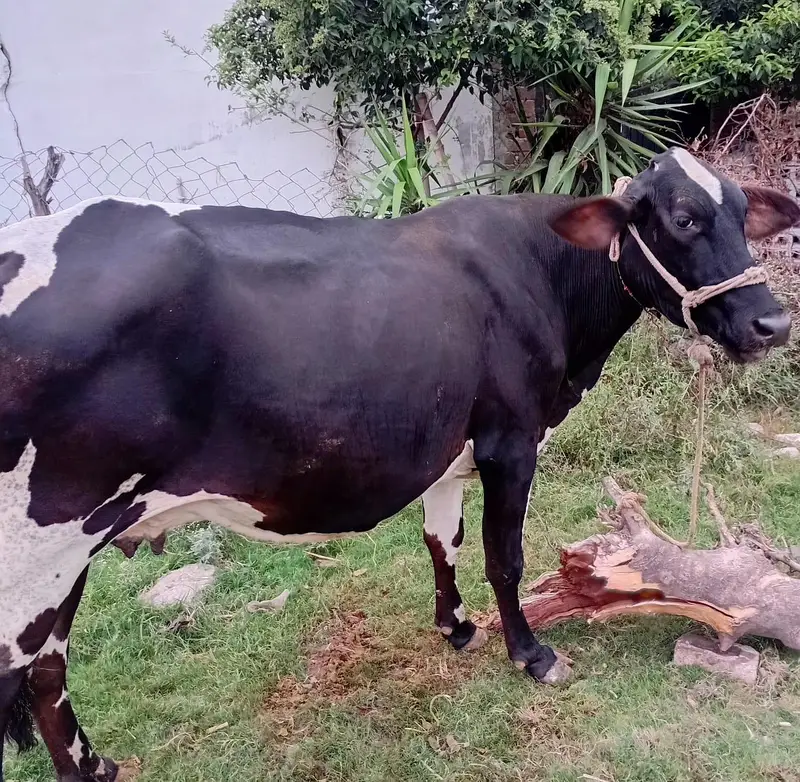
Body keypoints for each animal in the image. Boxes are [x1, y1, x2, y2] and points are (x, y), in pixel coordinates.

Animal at [1, 147, 798, 781]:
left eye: (739, 213)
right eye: (684, 219)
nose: (772, 323)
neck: (544, 276)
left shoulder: (451, 452)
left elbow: (442, 541)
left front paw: (457, 627)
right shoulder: (512, 440)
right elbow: (505, 557)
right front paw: (531, 654)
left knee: (41, 666)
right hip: (47, 538)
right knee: (36, 667)